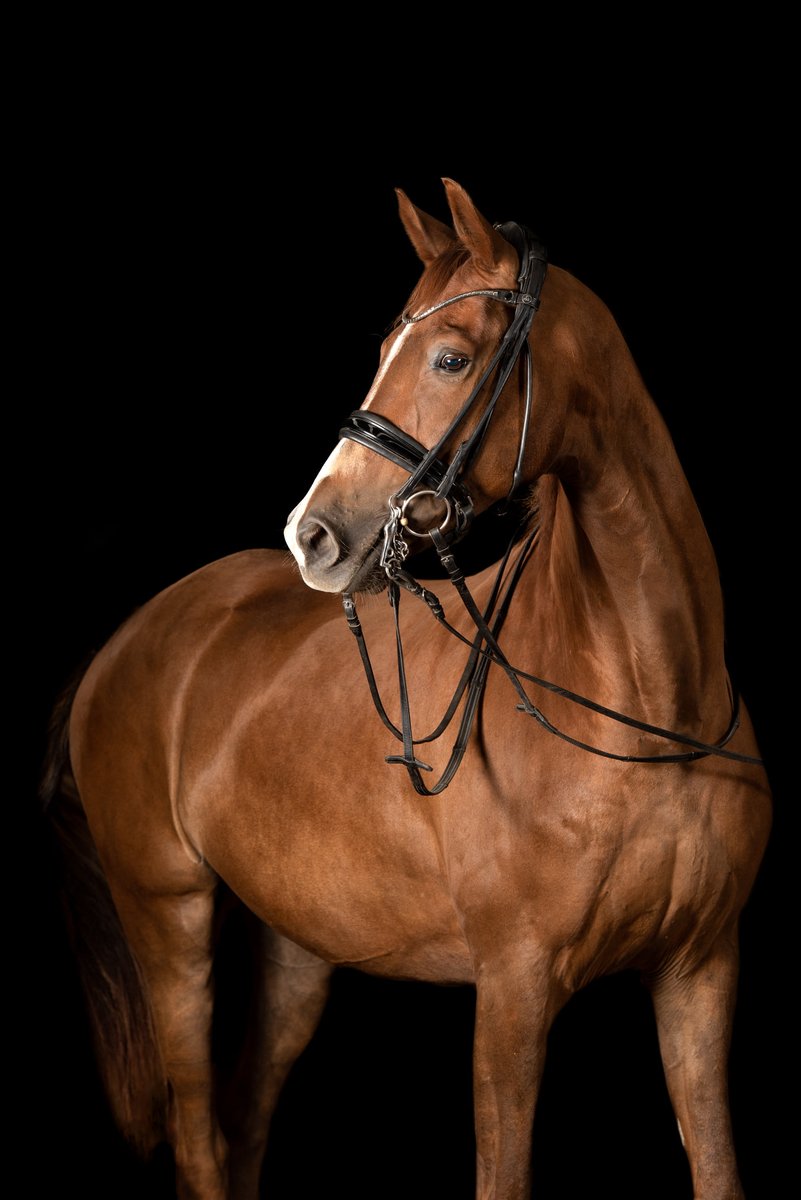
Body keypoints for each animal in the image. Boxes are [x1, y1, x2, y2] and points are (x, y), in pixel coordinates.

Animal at [40, 177, 771, 1200]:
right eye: (382, 350)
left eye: (451, 356)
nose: (313, 534)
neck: (647, 706)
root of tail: (124, 639)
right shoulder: (513, 989)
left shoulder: (699, 974)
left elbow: (714, 1166)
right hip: (166, 919)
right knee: (199, 1138)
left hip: (296, 950)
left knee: (243, 1120)